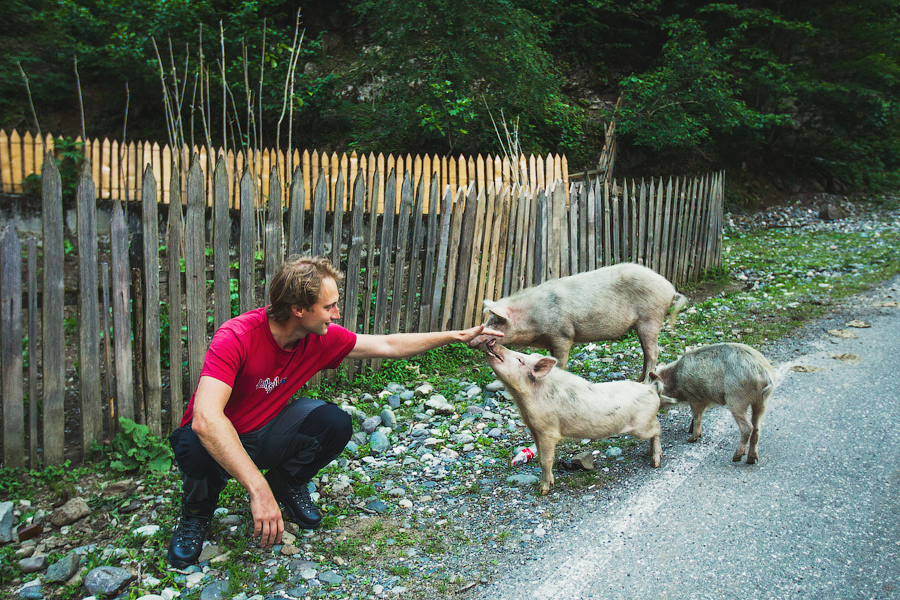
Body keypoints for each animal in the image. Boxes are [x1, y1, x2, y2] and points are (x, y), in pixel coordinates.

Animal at [468, 262, 684, 380]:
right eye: (489, 320)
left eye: (495, 322)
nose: (470, 341)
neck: (533, 319)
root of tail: (670, 288)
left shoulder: (562, 336)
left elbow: (560, 361)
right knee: (647, 352)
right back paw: (637, 379)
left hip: (651, 318)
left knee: (654, 351)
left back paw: (646, 382)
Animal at [486, 340, 660, 494]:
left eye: (519, 359)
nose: (493, 342)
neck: (524, 400)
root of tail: (652, 390)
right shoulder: (534, 429)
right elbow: (541, 458)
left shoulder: (548, 431)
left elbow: (545, 461)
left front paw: (542, 490)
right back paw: (648, 453)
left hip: (641, 426)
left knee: (658, 429)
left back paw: (655, 462)